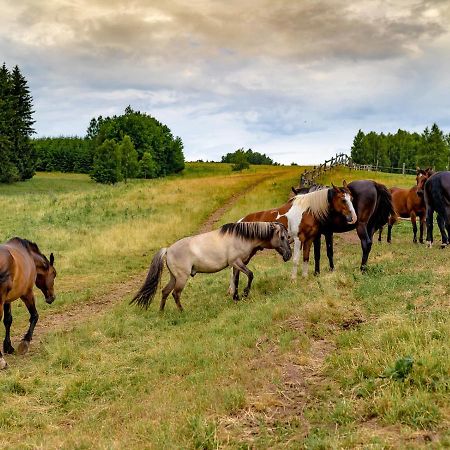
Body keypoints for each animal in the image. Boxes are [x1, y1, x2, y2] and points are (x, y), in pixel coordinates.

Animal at [0, 237, 57, 368]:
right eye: (54, 274)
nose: (52, 298)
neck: (29, 255)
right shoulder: (27, 293)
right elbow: (35, 315)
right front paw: (25, 342)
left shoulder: (7, 300)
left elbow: (8, 320)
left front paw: (8, 347)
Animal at [130, 221, 292, 312]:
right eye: (282, 237)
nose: (289, 255)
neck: (241, 237)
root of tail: (168, 250)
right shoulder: (236, 262)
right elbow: (250, 275)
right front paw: (245, 294)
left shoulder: (237, 265)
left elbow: (236, 280)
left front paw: (236, 297)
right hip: (181, 278)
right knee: (175, 294)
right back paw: (182, 312)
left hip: (174, 277)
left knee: (164, 292)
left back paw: (161, 312)